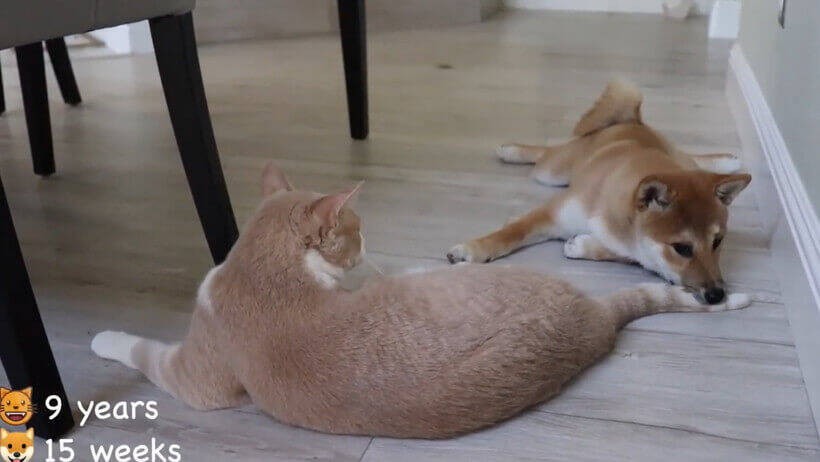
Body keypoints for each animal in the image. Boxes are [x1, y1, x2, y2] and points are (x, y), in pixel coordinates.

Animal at [448, 80, 748, 304]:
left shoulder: (635, 246)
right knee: (546, 153)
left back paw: (726, 160)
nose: (717, 295)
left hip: (678, 157)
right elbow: (511, 233)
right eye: (682, 248)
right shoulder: (554, 213)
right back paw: (512, 150)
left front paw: (583, 245)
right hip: (553, 172)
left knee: (692, 158)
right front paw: (473, 249)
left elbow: (631, 254)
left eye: (717, 241)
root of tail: (634, 121)